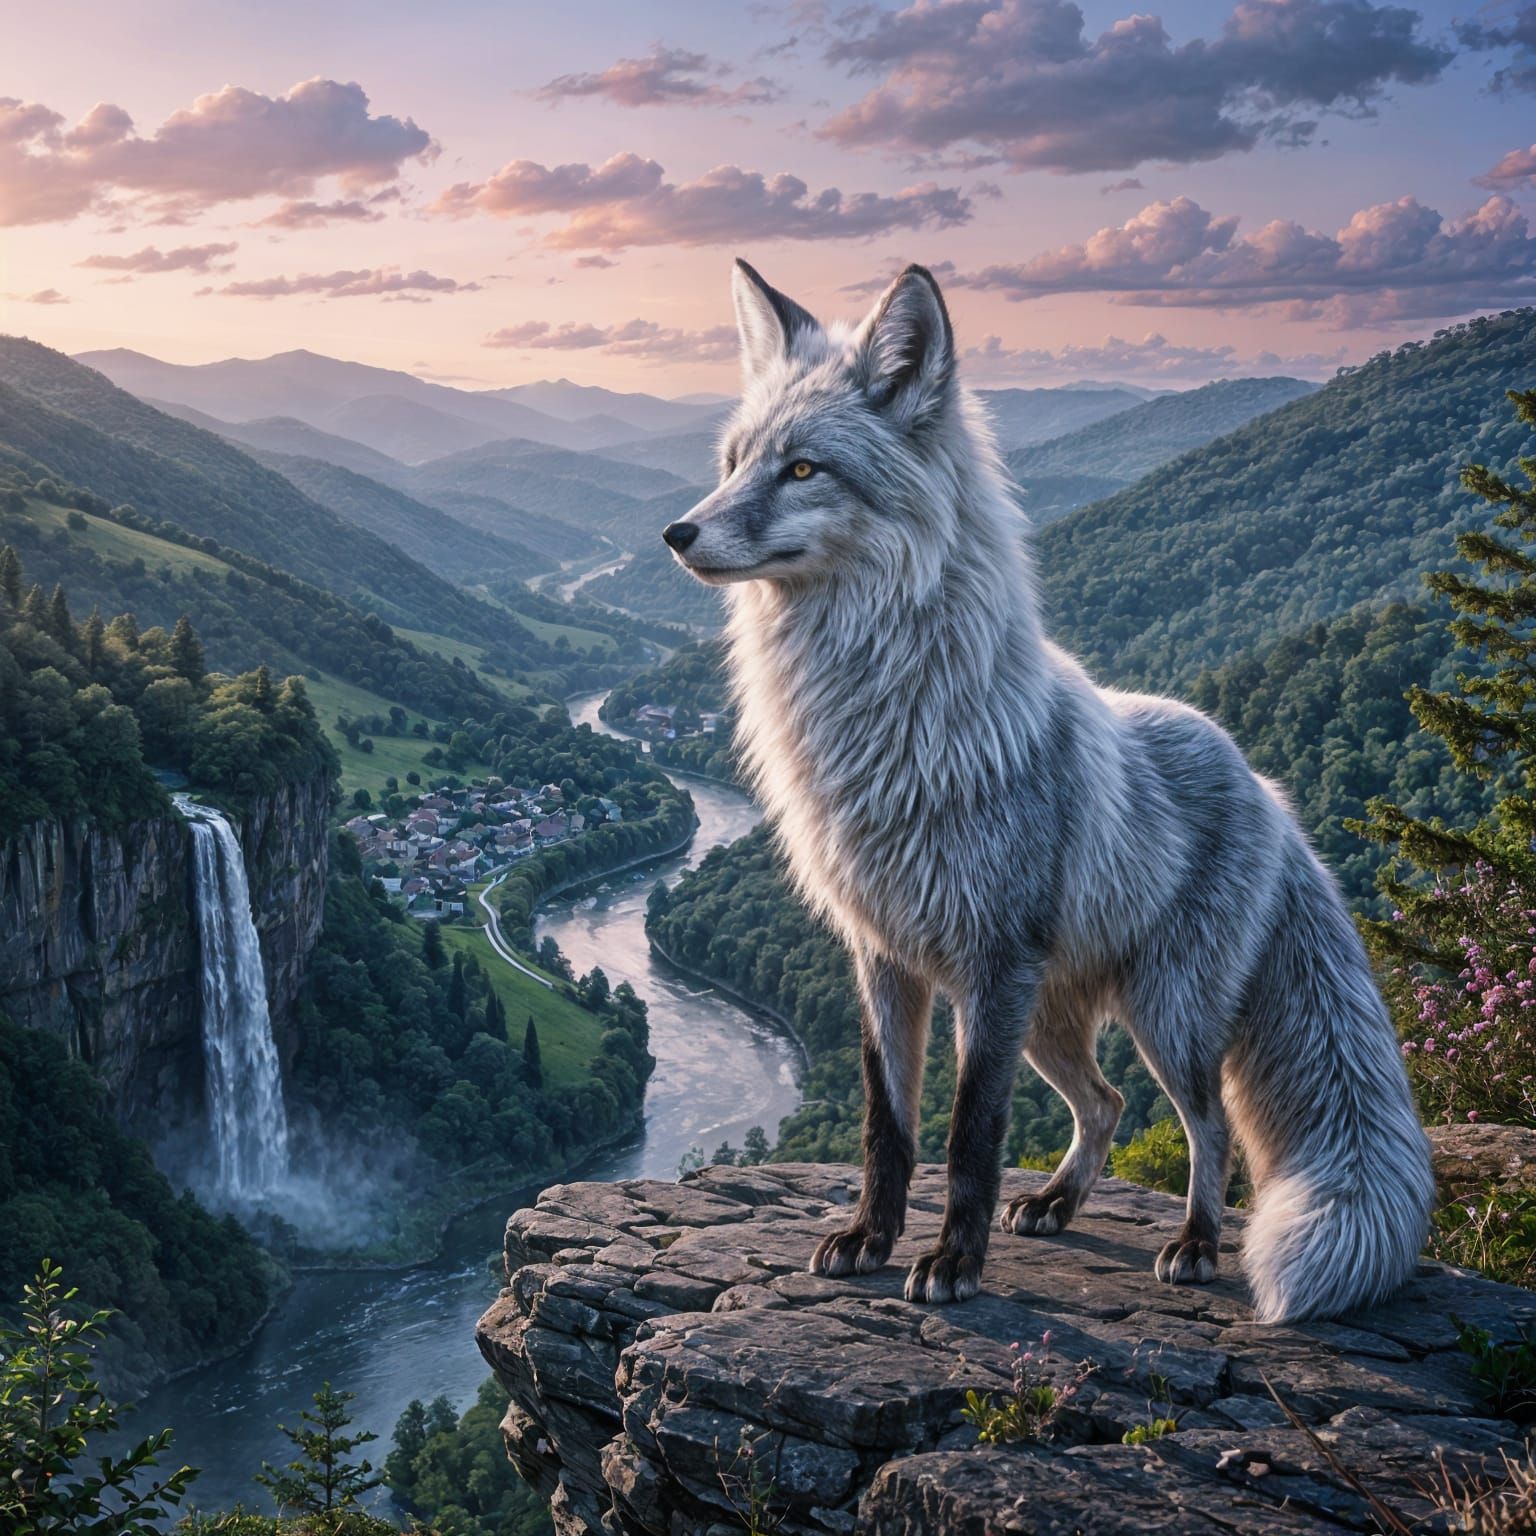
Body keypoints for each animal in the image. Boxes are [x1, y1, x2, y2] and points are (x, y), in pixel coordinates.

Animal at [660, 258, 1434, 1323]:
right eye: (735, 460)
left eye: (804, 470)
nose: (676, 532)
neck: (887, 731)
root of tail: (1265, 786)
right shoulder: (883, 958)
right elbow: (888, 1128)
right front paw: (871, 1237)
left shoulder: (990, 962)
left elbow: (968, 1138)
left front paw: (953, 1261)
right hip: (1054, 1024)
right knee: (1105, 1105)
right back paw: (1060, 1204)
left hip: (1164, 1016)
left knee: (1208, 1129)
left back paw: (1196, 1242)